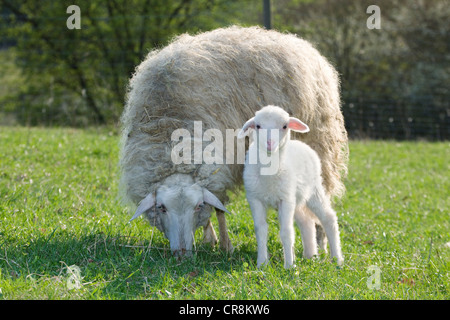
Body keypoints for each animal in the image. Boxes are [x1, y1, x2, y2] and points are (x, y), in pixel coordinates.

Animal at [239, 105, 344, 268]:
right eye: (258, 126)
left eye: (284, 126)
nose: (270, 143)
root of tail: (301, 144)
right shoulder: (255, 199)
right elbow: (260, 230)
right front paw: (262, 263)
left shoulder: (285, 199)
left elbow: (286, 232)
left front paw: (289, 265)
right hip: (297, 198)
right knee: (307, 222)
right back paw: (311, 255)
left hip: (314, 190)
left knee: (328, 218)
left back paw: (337, 259)